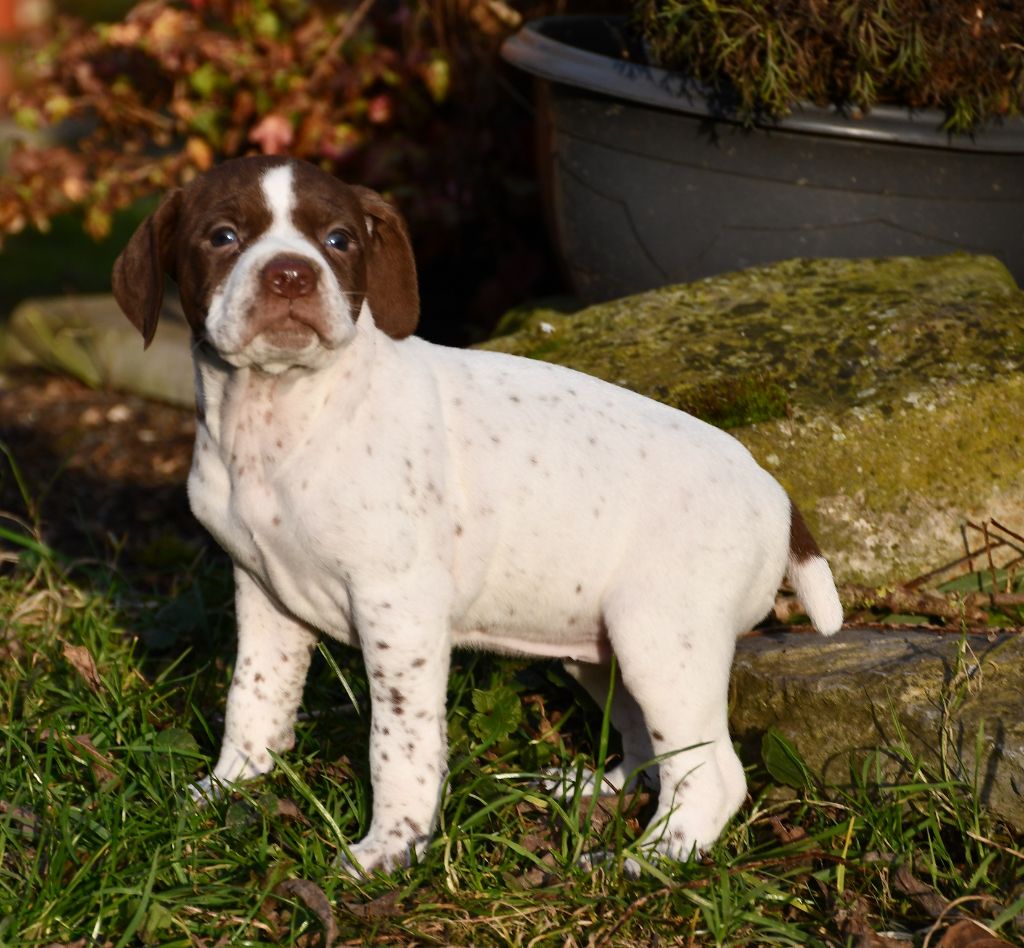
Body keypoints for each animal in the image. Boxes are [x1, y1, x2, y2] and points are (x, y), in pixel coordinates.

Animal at [116, 153, 843, 876]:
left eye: (339, 240)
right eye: (223, 236)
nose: (291, 274)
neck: (283, 417)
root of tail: (772, 489)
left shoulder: (398, 609)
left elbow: (398, 742)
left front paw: (392, 845)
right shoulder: (263, 594)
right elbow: (253, 698)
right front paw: (229, 788)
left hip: (662, 640)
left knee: (712, 772)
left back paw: (651, 857)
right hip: (598, 641)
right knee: (647, 743)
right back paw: (597, 789)